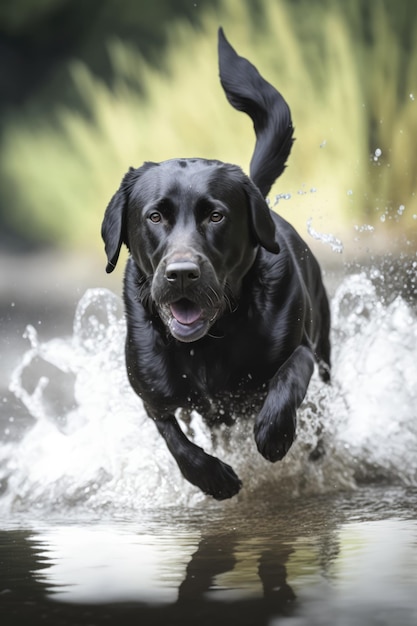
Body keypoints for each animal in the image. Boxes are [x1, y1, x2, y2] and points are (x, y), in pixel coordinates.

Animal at [101, 28, 332, 498]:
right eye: (155, 216)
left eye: (216, 216)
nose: (182, 275)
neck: (210, 342)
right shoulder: (152, 394)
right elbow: (173, 436)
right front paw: (211, 477)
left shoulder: (300, 347)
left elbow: (289, 377)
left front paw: (274, 434)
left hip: (326, 352)